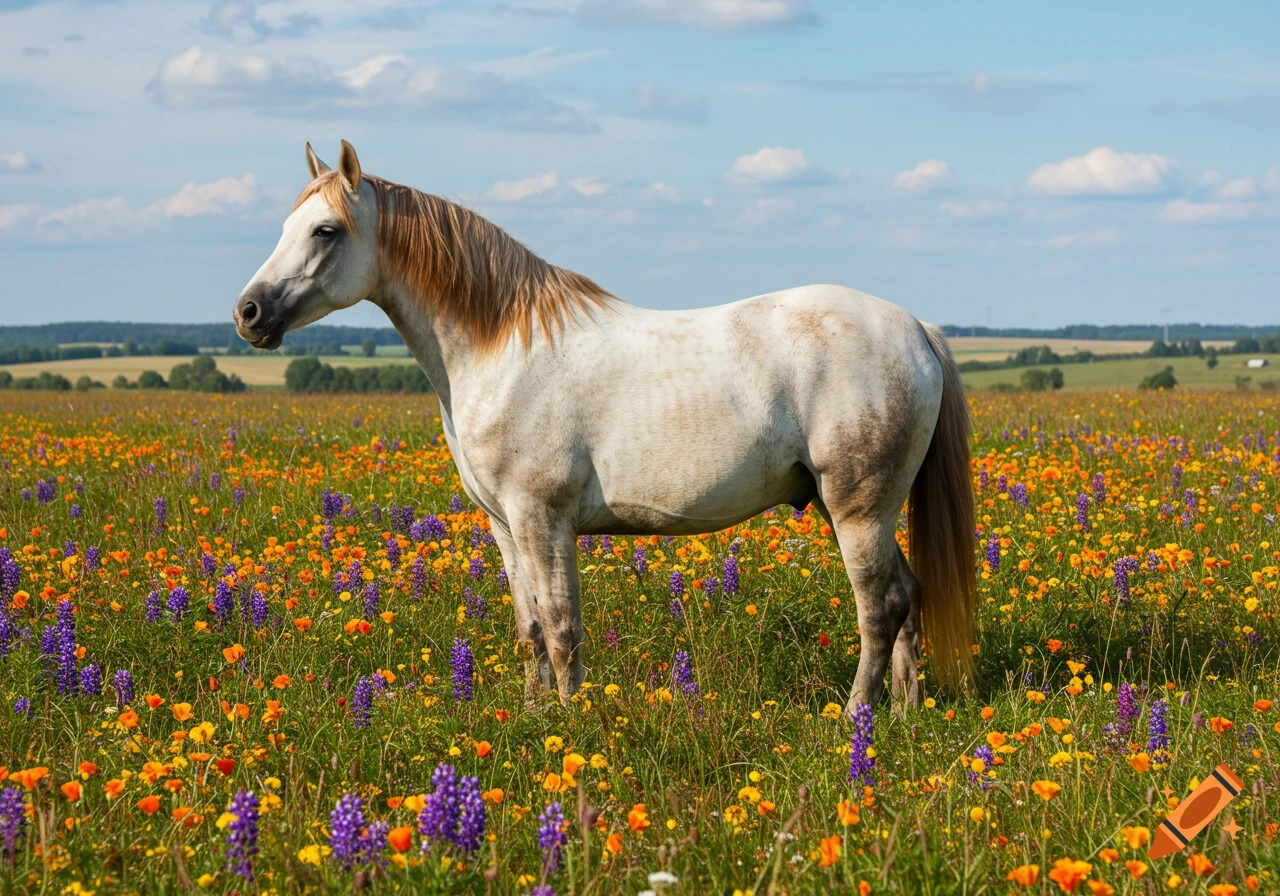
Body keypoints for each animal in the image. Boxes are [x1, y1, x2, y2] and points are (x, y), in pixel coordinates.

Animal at [234, 140, 977, 714]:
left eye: (325, 231)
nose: (248, 312)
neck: (502, 348)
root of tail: (916, 328)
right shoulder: (506, 526)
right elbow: (530, 630)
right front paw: (534, 718)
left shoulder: (544, 518)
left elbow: (564, 628)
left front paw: (571, 726)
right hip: (850, 509)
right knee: (908, 599)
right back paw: (903, 715)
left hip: (858, 511)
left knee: (880, 608)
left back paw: (855, 717)